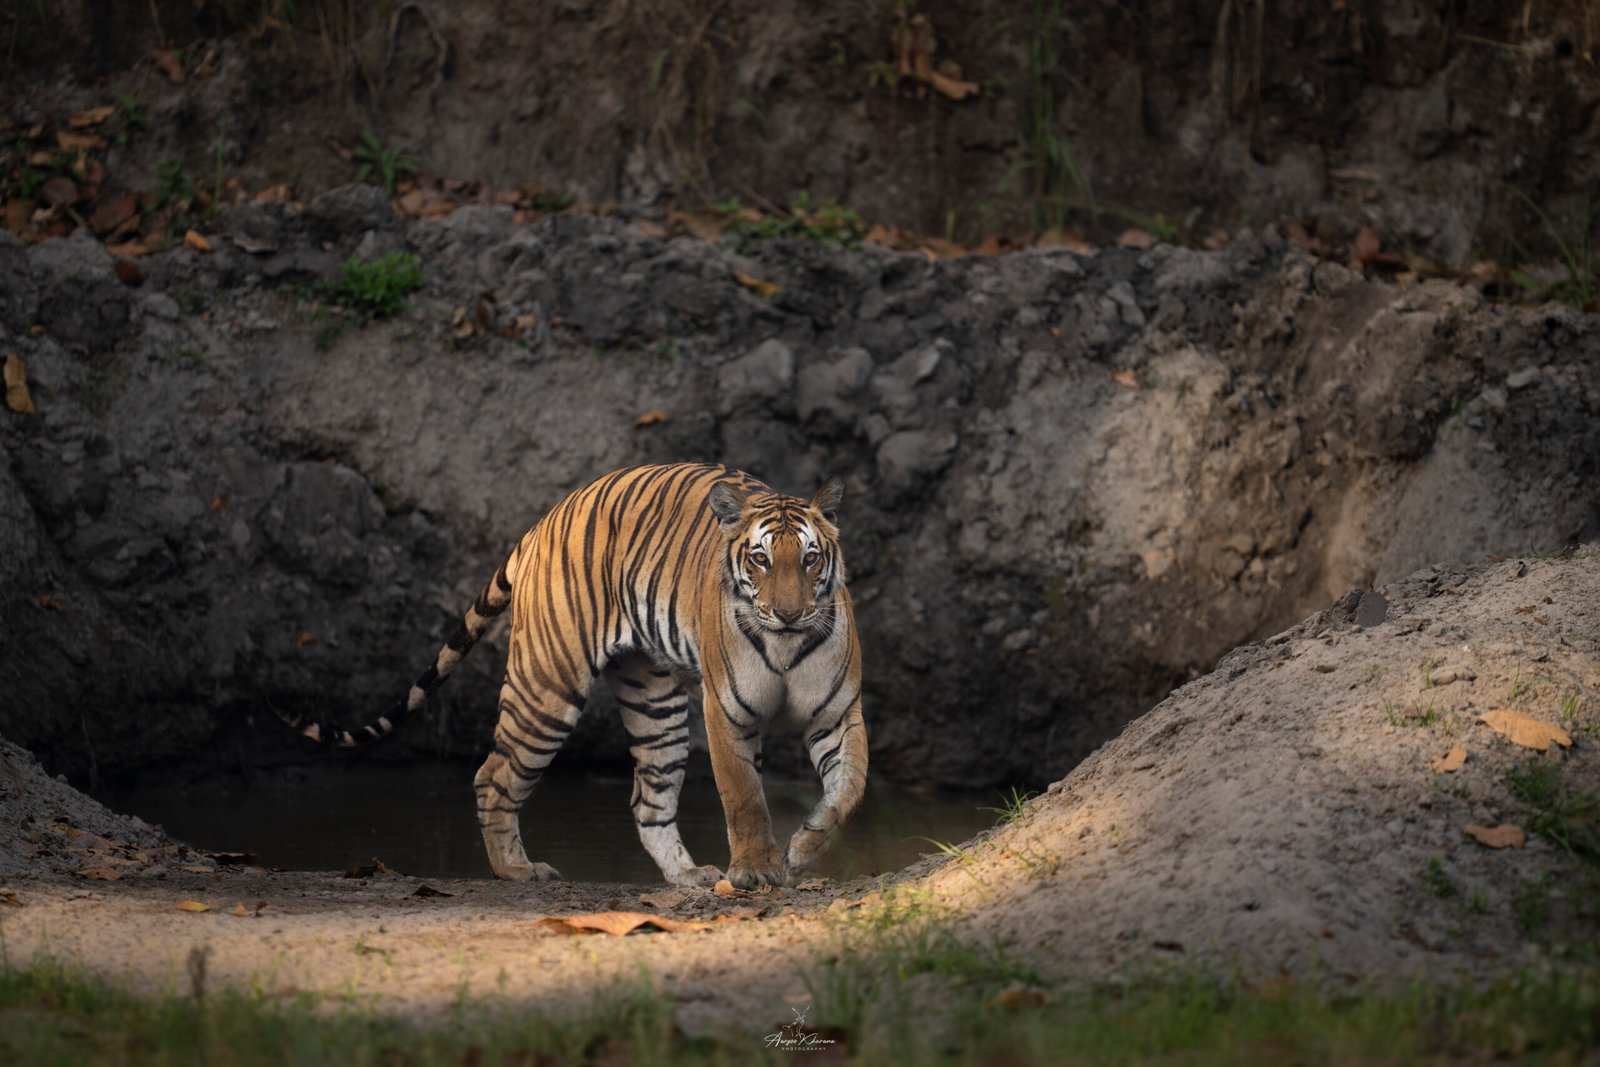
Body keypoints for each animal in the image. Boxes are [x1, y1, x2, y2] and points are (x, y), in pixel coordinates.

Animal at [283, 462, 868, 889]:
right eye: (760, 560)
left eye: (810, 559)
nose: (788, 614)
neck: (785, 644)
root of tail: (545, 519)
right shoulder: (725, 711)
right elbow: (743, 794)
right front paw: (755, 870)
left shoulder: (838, 713)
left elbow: (849, 789)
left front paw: (803, 849)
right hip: (546, 690)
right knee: (492, 775)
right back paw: (517, 870)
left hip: (655, 706)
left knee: (648, 800)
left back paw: (687, 875)